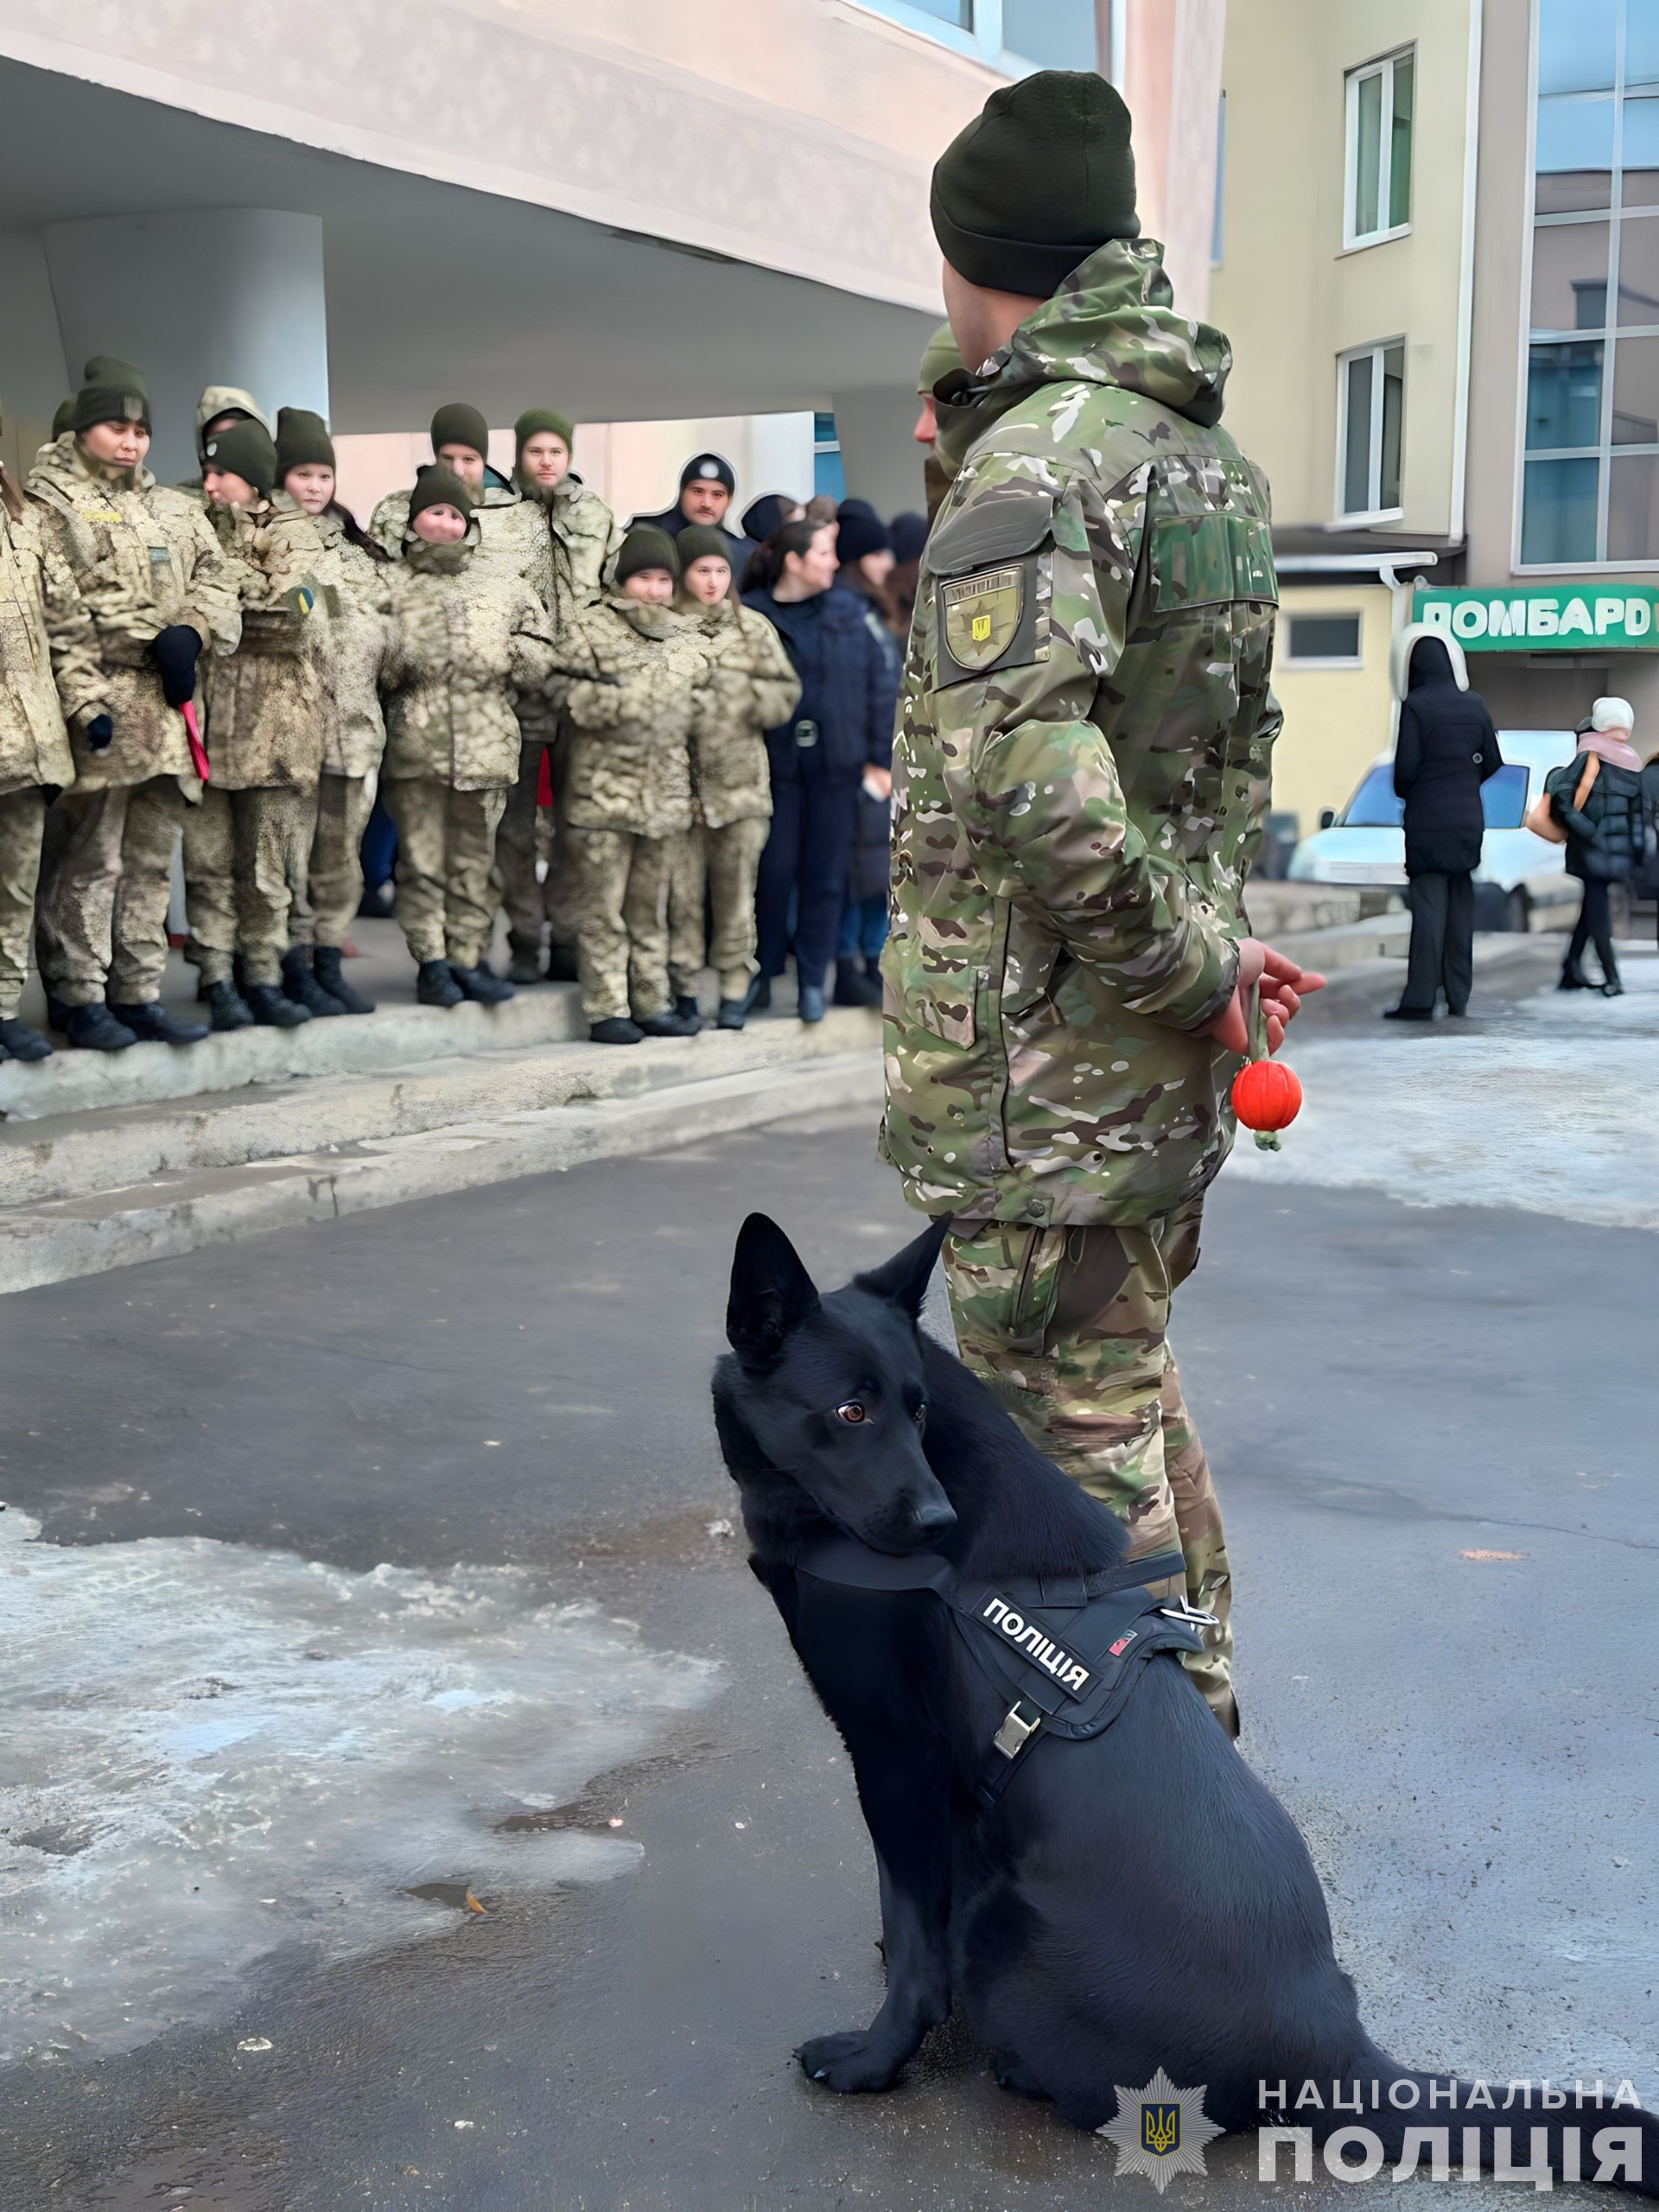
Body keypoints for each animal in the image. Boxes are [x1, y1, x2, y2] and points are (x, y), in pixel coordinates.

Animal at [716, 1221, 1659, 2185]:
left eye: (914, 1412)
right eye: (853, 1413)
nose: (937, 1523)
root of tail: (1331, 2045)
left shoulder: (891, 1754)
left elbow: (910, 1932)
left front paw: (875, 2058)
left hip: (1003, 1931)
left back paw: (1018, 2066)